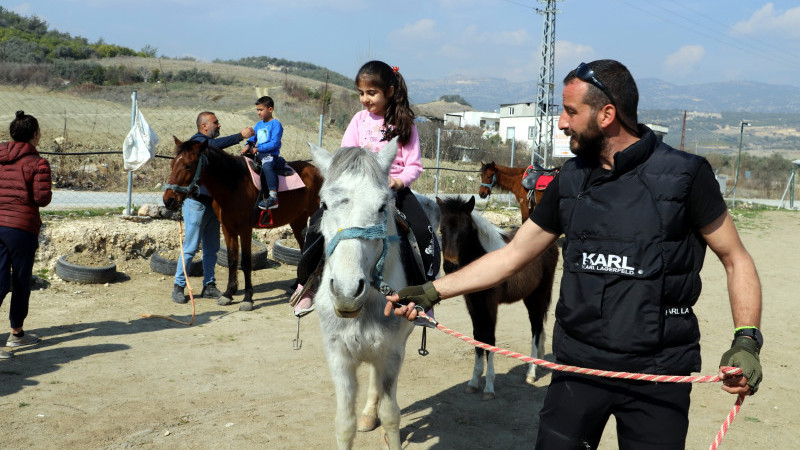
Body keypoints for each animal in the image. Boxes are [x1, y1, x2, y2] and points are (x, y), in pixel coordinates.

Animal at [162, 137, 322, 312]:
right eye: (172, 164)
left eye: (188, 165)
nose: (168, 200)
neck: (234, 184)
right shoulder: (227, 228)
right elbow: (232, 260)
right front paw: (228, 294)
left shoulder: (245, 229)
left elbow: (245, 262)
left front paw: (248, 298)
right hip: (298, 221)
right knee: (304, 249)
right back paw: (298, 285)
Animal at [308, 141, 416, 450]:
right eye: (323, 205)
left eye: (382, 207)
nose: (346, 292)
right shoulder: (339, 358)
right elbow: (344, 424)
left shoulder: (391, 354)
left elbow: (391, 416)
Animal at [438, 195, 556, 400]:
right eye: (442, 229)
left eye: (465, 230)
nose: (450, 266)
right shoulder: (473, 304)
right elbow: (478, 337)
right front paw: (473, 382)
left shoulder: (490, 304)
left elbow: (489, 339)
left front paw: (489, 387)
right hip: (529, 296)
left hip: (538, 295)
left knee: (536, 327)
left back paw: (531, 372)